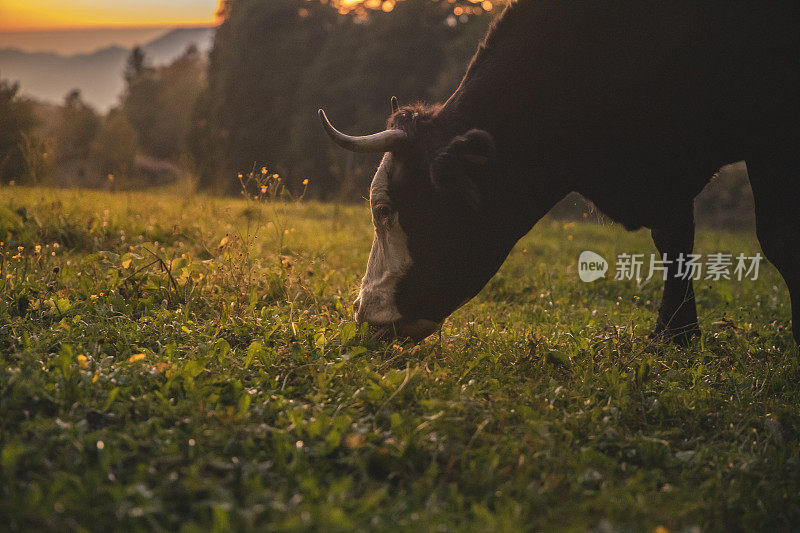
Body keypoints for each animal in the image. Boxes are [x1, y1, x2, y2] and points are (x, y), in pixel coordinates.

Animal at [316, 2, 800, 342]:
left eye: (384, 211)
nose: (365, 315)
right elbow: (673, 241)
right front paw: (674, 335)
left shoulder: (772, 136)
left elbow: (779, 240)